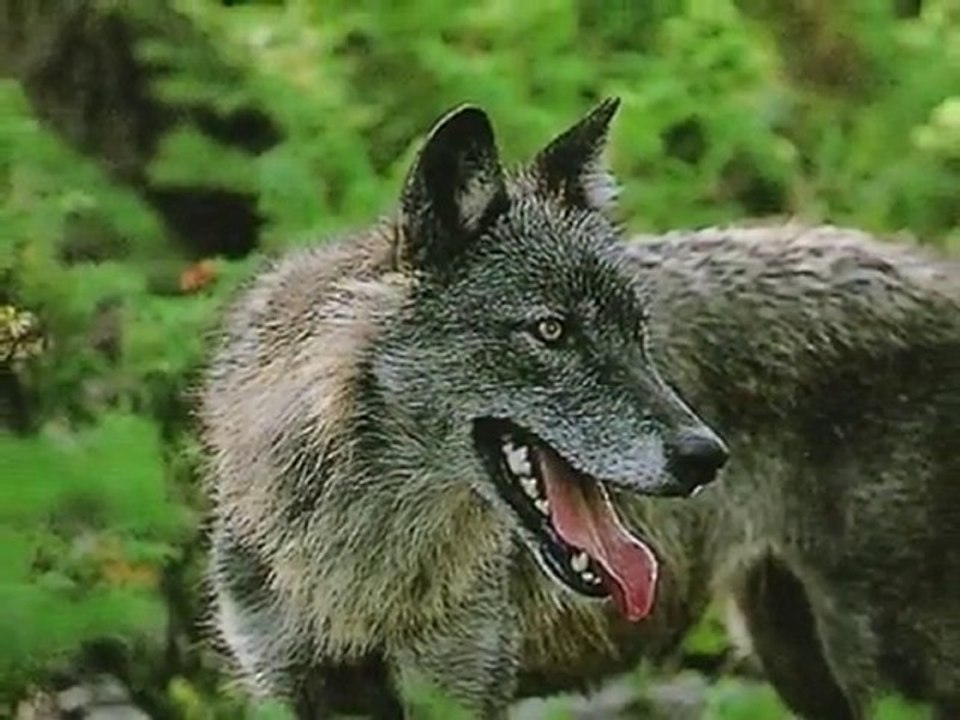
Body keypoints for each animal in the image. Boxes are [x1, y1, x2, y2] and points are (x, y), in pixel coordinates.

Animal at [199, 99, 960, 719]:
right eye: (551, 330)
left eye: (637, 333)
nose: (706, 456)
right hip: (798, 659)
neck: (360, 554)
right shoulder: (286, 682)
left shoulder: (457, 689)